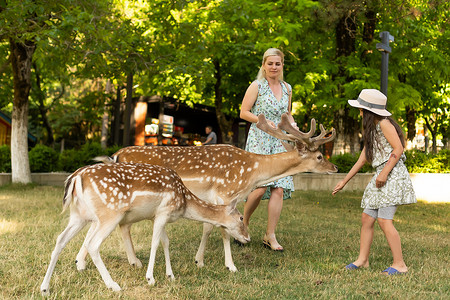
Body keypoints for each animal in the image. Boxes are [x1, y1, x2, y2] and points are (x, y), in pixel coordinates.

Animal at [40, 163, 250, 294]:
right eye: (241, 217)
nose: (247, 238)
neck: (184, 202)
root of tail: (76, 177)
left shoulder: (157, 216)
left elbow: (165, 242)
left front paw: (170, 275)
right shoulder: (164, 212)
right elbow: (155, 242)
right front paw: (150, 278)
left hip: (79, 215)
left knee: (60, 239)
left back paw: (44, 288)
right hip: (110, 213)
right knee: (93, 244)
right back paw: (113, 285)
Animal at [77, 112, 336, 272]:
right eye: (319, 156)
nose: (334, 168)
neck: (253, 172)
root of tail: (116, 155)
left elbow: (208, 226)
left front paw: (199, 260)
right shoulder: (226, 192)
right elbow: (223, 229)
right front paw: (230, 265)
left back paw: (86, 261)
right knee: (121, 225)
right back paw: (133, 262)